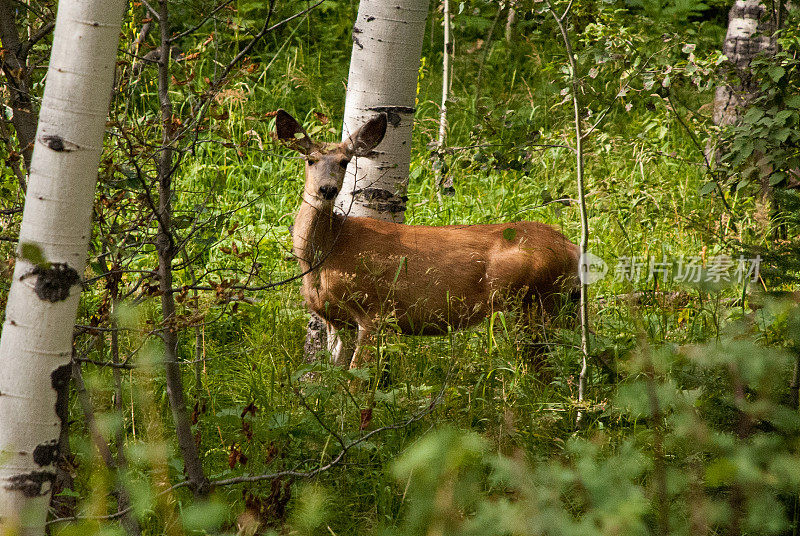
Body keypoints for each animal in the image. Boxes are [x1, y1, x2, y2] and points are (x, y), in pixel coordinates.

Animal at [278, 109, 580, 368]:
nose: (326, 189)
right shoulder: (338, 322)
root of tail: (573, 248)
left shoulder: (377, 311)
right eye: (310, 160)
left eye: (344, 162)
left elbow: (357, 380)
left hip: (531, 302)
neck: (327, 251)